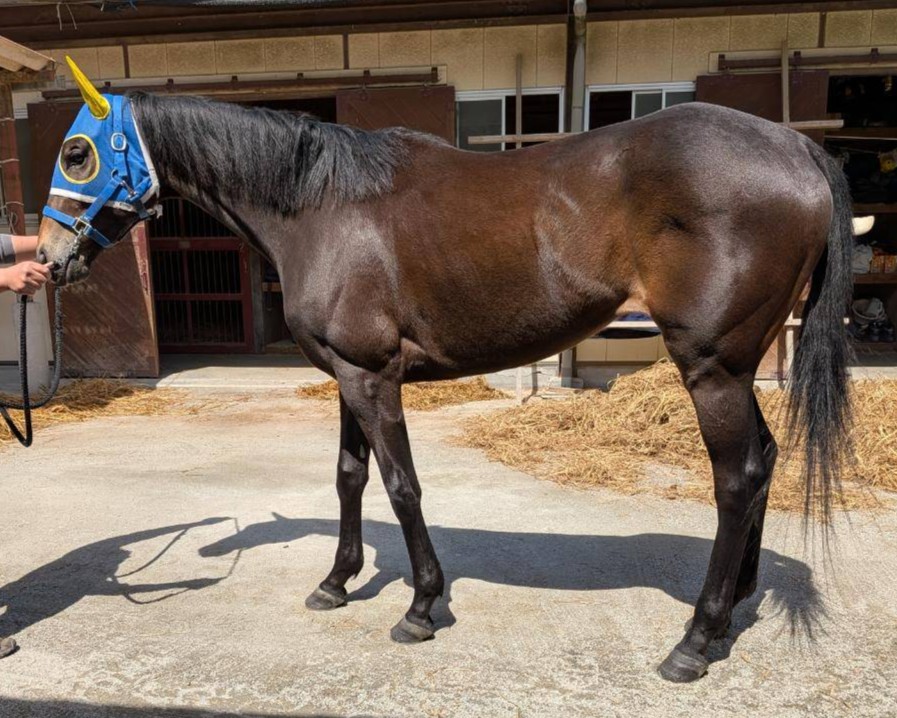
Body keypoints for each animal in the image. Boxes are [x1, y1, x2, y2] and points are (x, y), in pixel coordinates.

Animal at [36, 57, 853, 683]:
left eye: (76, 152)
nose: (47, 258)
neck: (323, 206)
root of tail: (796, 149)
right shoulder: (347, 375)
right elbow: (349, 477)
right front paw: (336, 582)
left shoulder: (372, 378)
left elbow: (401, 487)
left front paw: (422, 607)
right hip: (734, 367)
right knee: (763, 462)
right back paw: (731, 612)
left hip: (711, 367)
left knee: (735, 480)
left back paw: (693, 640)